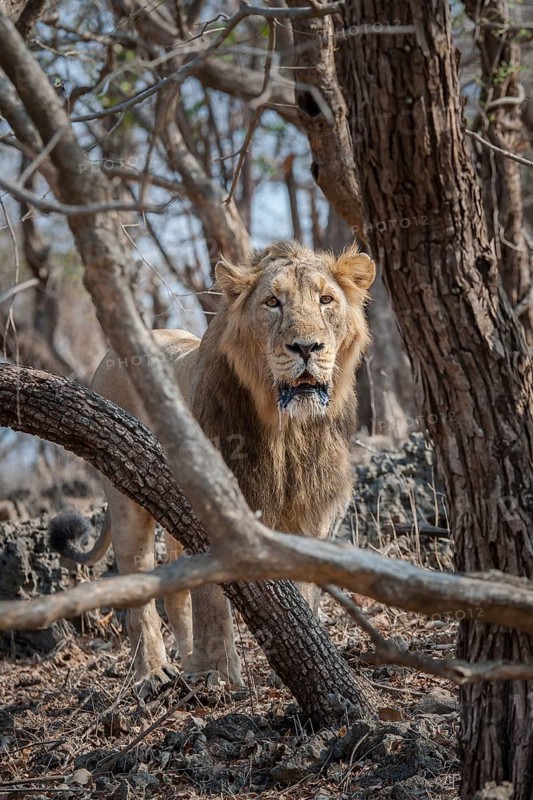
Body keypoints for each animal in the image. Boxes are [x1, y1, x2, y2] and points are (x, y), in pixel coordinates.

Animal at [49, 240, 375, 695]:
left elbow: (304, 590)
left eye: (326, 300)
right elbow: (210, 599)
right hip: (126, 498)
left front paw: (306, 657)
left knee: (174, 593)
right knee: (137, 585)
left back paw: (184, 661)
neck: (286, 433)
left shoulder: (315, 512)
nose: (307, 348)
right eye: (272, 303)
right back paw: (153, 672)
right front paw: (214, 673)